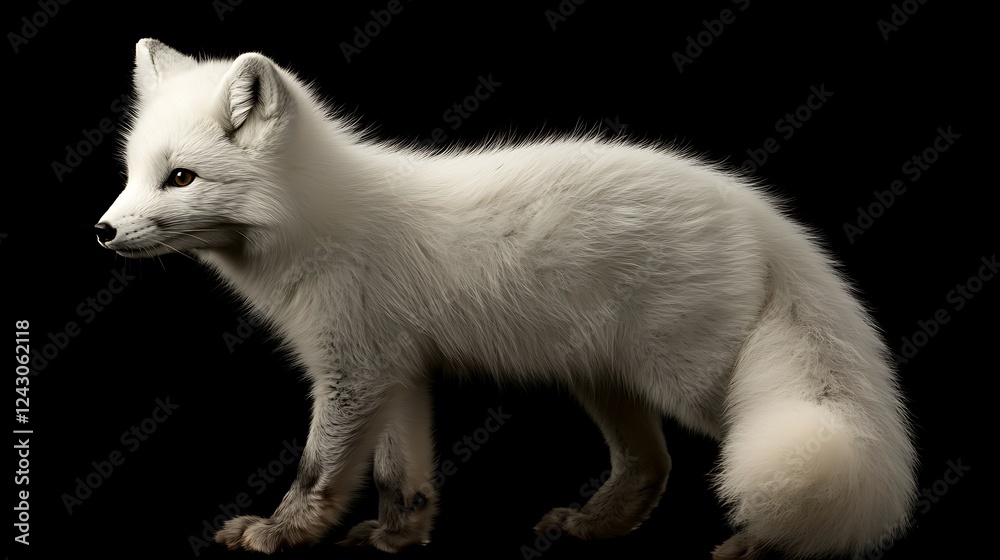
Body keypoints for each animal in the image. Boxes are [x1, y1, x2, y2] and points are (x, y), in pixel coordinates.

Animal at [95, 39, 917, 559]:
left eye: (180, 178)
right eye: (133, 173)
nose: (101, 231)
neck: (318, 222)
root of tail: (755, 208)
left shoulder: (353, 372)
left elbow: (316, 470)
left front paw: (281, 532)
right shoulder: (397, 374)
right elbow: (402, 478)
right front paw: (398, 538)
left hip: (691, 383)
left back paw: (765, 542)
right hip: (604, 379)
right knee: (650, 465)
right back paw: (595, 526)